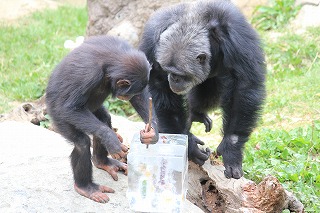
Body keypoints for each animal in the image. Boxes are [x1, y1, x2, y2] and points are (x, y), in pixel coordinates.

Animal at [45, 35, 158, 203]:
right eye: (128, 93)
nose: (127, 97)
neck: (110, 63)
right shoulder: (88, 74)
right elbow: (70, 107)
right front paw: (111, 138)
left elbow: (140, 98)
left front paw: (152, 133)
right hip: (57, 115)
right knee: (82, 143)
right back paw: (86, 187)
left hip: (93, 111)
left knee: (104, 120)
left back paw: (103, 162)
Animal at [139, 0, 266, 179]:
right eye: (168, 70)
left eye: (179, 74)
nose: (173, 79)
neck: (196, 21)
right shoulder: (152, 43)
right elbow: (158, 85)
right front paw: (189, 144)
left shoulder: (238, 37)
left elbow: (244, 86)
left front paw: (231, 148)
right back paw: (196, 114)